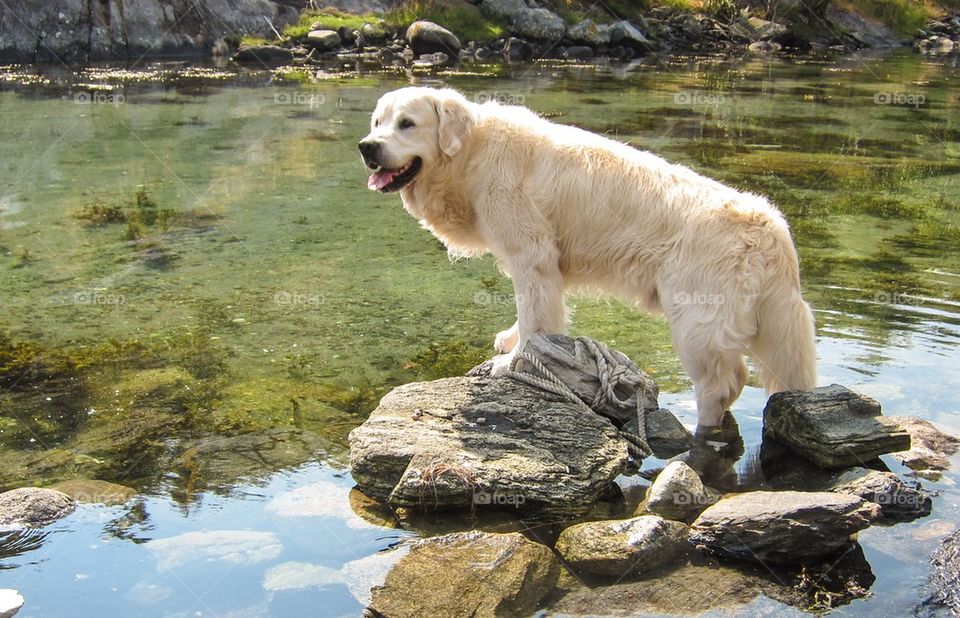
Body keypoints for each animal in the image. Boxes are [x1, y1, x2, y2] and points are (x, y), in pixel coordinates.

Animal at [360, 86, 816, 426]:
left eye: (407, 123)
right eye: (378, 122)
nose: (367, 147)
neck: (471, 153)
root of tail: (772, 226)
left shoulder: (531, 252)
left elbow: (535, 318)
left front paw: (511, 362)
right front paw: (510, 339)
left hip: (696, 318)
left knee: (722, 383)